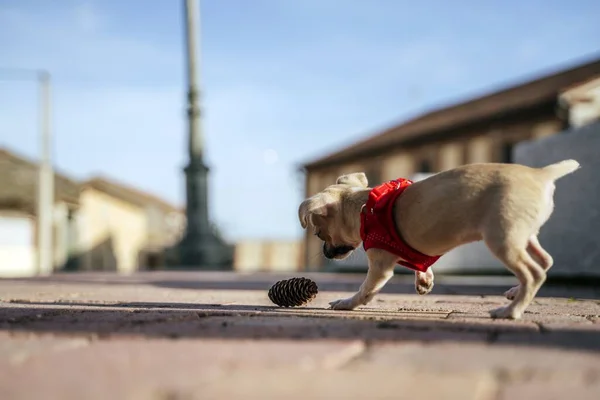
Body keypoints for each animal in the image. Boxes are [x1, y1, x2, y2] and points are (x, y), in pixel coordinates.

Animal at [300, 159, 580, 318]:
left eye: (319, 233)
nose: (325, 252)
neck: (364, 207)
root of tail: (542, 174)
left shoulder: (380, 265)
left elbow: (365, 290)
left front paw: (346, 303)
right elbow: (421, 263)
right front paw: (425, 280)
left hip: (503, 239)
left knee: (534, 272)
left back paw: (511, 311)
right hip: (524, 236)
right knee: (545, 261)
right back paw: (515, 292)